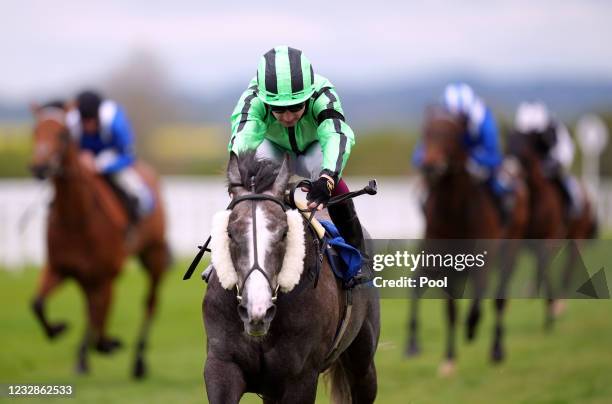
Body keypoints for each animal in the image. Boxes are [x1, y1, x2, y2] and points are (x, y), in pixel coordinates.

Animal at [27, 102, 169, 378]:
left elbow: (100, 320)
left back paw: (138, 361)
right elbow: (37, 303)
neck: (76, 218)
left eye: (62, 134)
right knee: (90, 310)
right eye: (35, 131)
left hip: (153, 255)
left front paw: (109, 344)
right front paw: (57, 329)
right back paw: (83, 358)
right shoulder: (60, 267)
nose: (40, 168)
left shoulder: (105, 275)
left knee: (149, 304)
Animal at [203, 153, 380, 402]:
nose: (257, 310)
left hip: (362, 361)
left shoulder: (300, 376)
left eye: (284, 232)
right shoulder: (222, 366)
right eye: (230, 232)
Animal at [404, 105, 528, 374]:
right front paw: (447, 357)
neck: (454, 211)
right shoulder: (439, 258)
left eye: (451, 134)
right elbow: (448, 308)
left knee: (499, 297)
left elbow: (479, 295)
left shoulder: (483, 255)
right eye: (426, 132)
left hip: (510, 249)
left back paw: (496, 348)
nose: (430, 166)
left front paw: (471, 326)